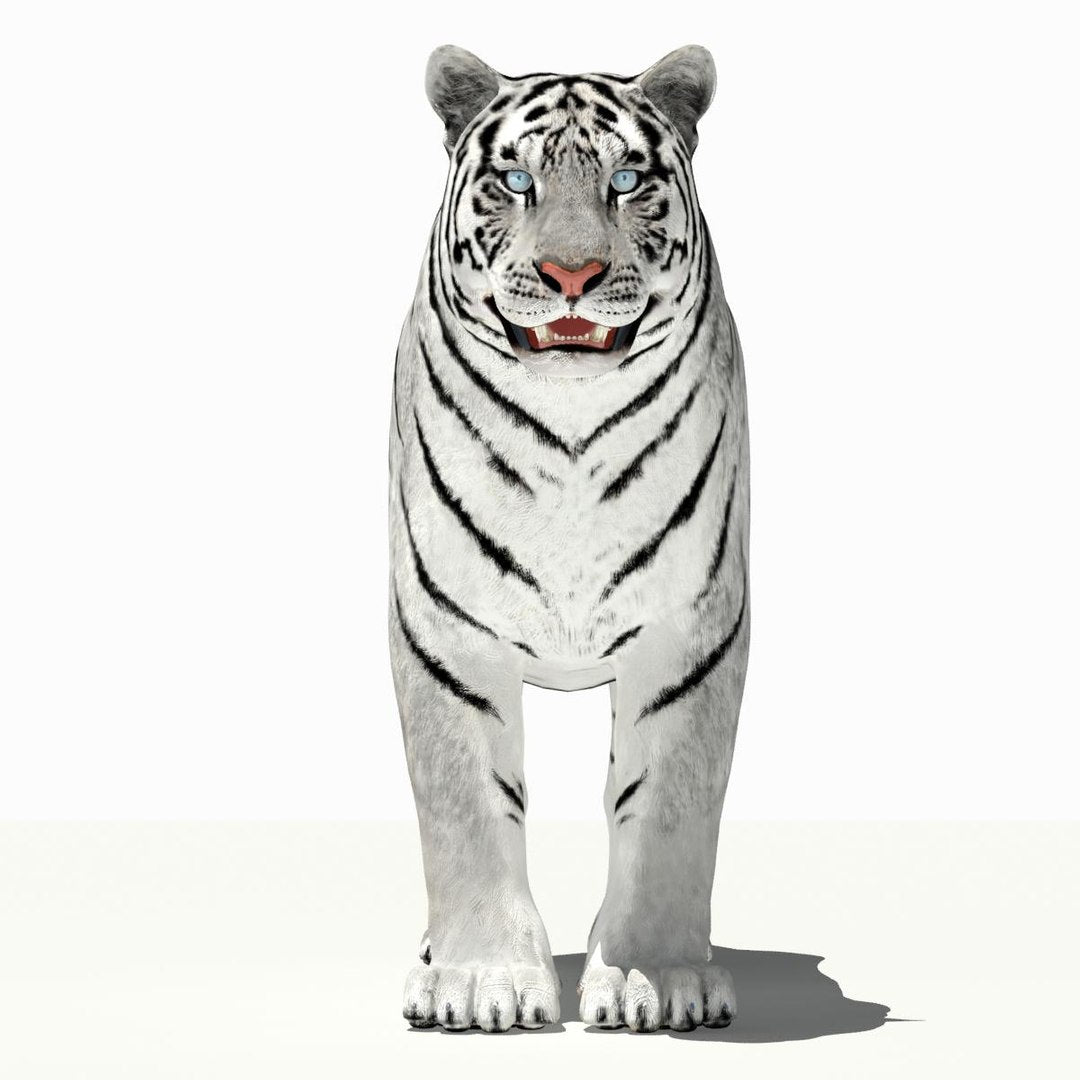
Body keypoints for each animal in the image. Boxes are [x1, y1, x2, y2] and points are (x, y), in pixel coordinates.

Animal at [388, 43, 750, 1033]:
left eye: (626, 181)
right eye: (517, 181)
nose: (573, 276)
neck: (570, 434)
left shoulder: (688, 634)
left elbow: (668, 809)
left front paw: (655, 980)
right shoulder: (447, 634)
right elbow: (465, 807)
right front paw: (478, 982)